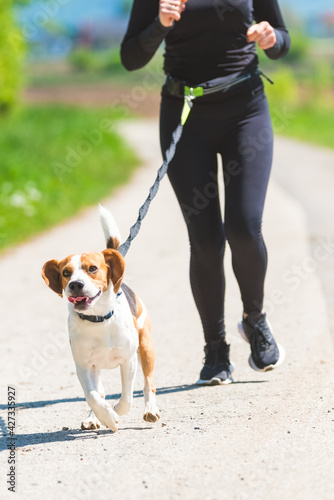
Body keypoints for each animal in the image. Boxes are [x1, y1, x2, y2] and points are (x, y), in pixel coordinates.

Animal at [41, 205, 161, 432]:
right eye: (66, 273)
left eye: (92, 268)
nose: (75, 284)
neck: (98, 320)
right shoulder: (83, 366)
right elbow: (93, 396)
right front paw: (106, 416)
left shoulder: (128, 360)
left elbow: (126, 398)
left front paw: (116, 411)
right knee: (100, 392)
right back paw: (94, 417)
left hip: (146, 346)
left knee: (148, 382)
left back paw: (150, 409)